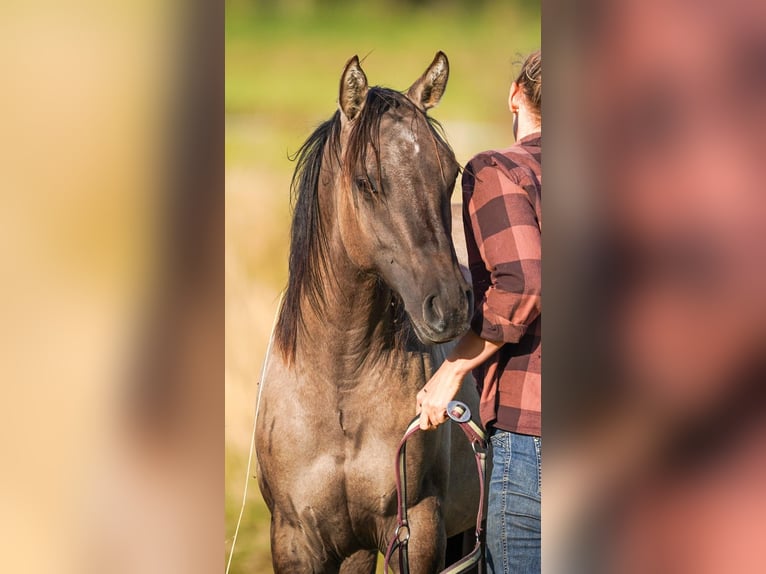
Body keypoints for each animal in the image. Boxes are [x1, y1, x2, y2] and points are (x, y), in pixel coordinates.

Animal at [255, 51, 481, 573]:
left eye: (451, 172)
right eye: (366, 182)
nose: (451, 307)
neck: (341, 382)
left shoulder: (417, 528)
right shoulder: (298, 538)